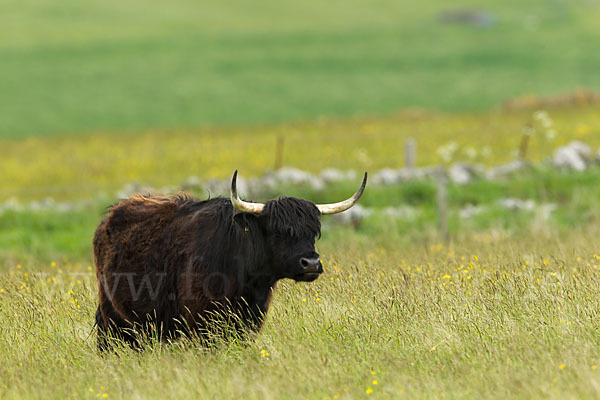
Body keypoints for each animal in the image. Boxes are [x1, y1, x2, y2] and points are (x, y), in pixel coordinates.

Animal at [94, 170, 366, 348]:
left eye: (314, 233)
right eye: (278, 231)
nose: (311, 263)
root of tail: (109, 216)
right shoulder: (201, 323)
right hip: (114, 317)